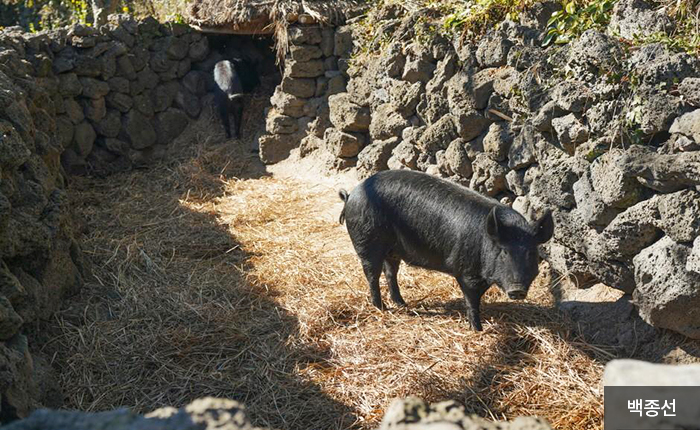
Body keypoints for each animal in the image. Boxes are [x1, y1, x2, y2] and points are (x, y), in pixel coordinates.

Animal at [340, 170, 552, 330]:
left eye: (531, 253)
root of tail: (351, 196)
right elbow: (472, 301)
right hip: (366, 242)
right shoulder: (465, 272)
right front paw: (477, 329)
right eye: (504, 252)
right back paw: (381, 308)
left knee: (390, 272)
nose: (517, 290)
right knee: (372, 275)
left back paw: (402, 303)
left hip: (393, 250)